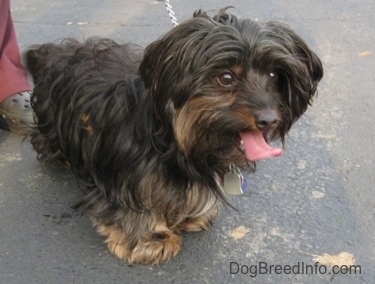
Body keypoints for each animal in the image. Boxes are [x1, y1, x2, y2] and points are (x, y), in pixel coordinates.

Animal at [25, 8, 324, 264]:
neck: (175, 142)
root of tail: (55, 50)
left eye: (274, 75)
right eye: (226, 78)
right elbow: (136, 207)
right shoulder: (127, 176)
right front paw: (150, 238)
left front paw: (189, 216)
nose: (269, 120)